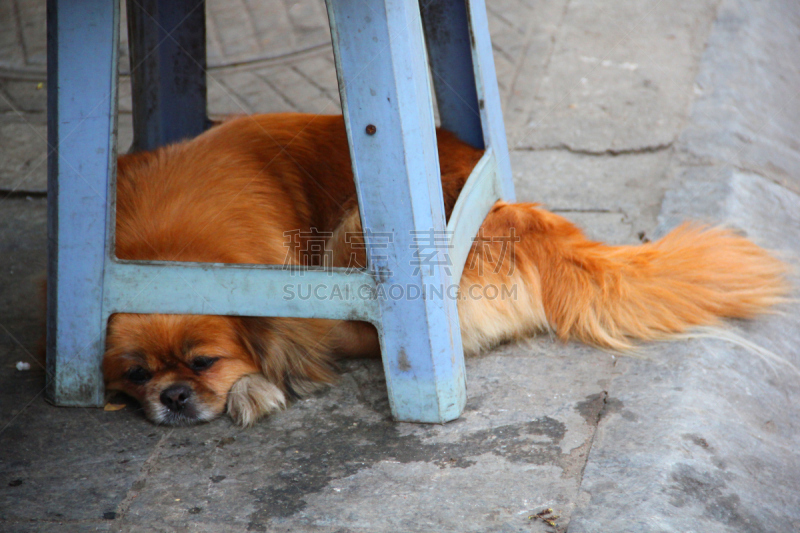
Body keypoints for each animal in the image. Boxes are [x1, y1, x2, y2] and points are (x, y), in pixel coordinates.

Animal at [103, 112, 792, 424]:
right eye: (135, 375)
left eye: (204, 362)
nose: (172, 395)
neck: (160, 242)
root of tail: (516, 215)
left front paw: (252, 385)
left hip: (359, 229)